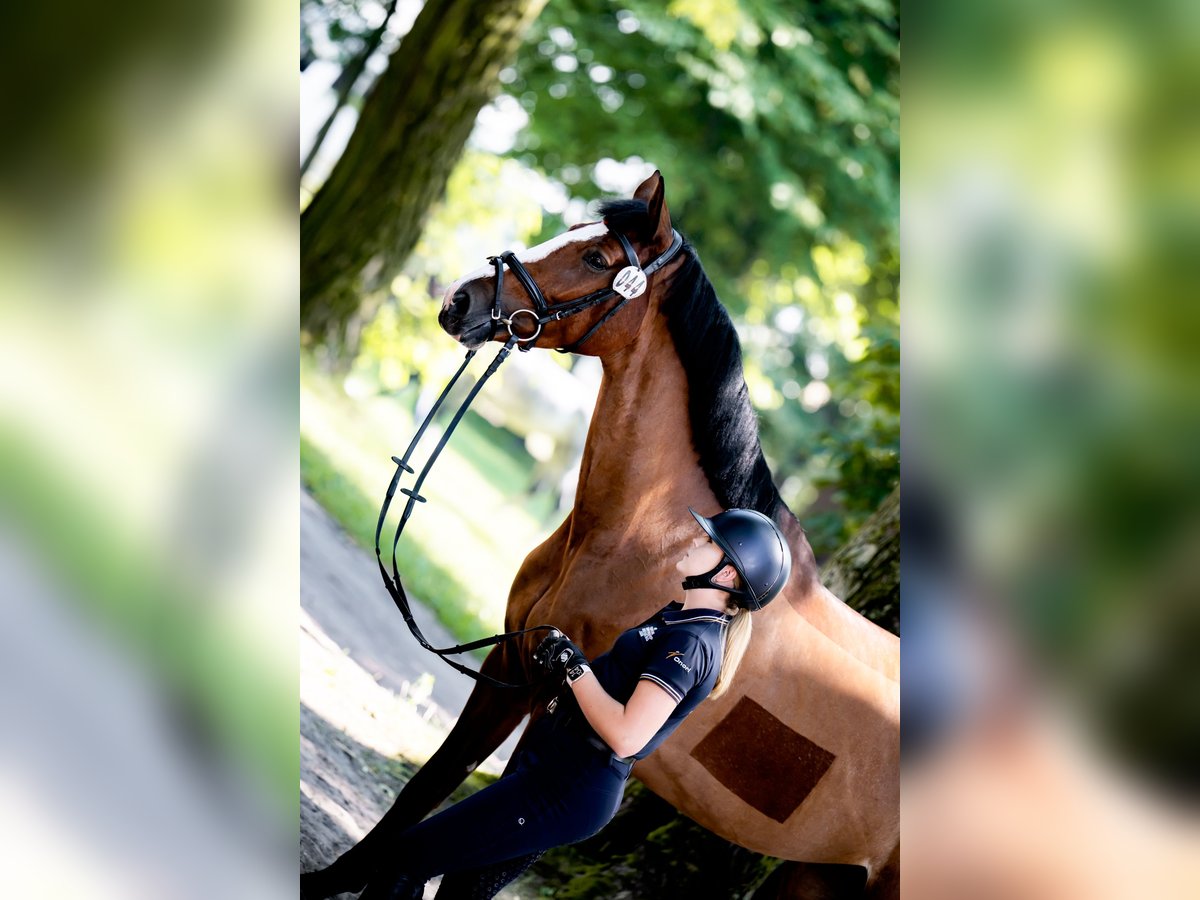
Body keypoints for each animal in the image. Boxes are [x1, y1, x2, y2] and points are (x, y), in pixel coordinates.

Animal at [334, 171, 899, 898]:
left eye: (599, 258)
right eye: (574, 230)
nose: (460, 300)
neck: (641, 539)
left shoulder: (555, 700)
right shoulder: (508, 666)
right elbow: (425, 789)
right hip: (818, 874)